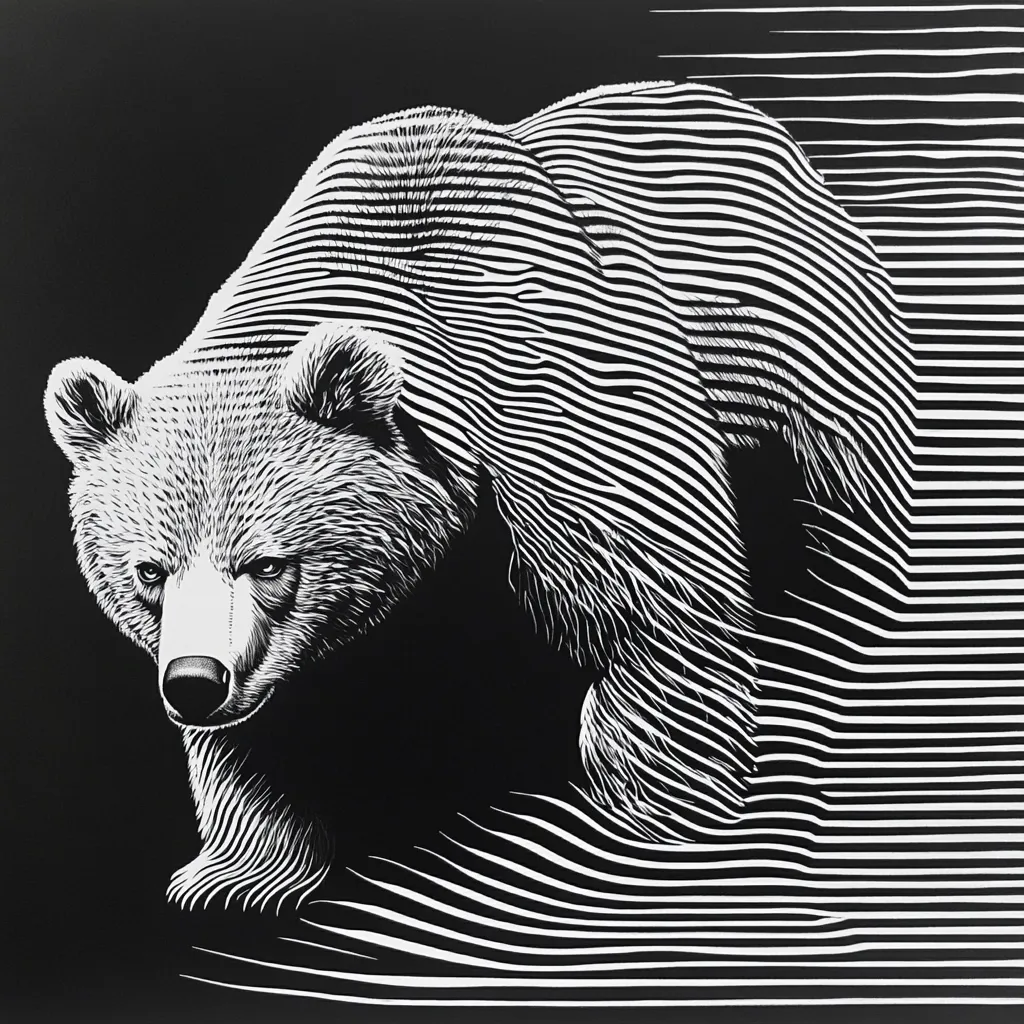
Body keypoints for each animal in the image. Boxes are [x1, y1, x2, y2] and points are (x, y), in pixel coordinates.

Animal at [44, 82, 899, 914]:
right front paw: (236, 876)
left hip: (799, 356)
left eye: (267, 564)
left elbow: (650, 603)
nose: (195, 681)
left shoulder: (559, 399)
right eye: (149, 570)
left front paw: (651, 815)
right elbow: (266, 730)